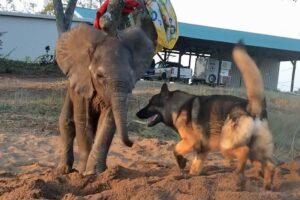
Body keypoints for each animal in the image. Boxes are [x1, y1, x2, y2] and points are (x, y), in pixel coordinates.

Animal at [136, 43, 274, 189]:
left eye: (150, 103)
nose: (136, 113)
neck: (177, 107)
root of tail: (252, 106)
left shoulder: (191, 141)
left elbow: (175, 150)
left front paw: (182, 163)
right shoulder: (202, 149)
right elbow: (195, 168)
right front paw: (187, 177)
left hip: (226, 145)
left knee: (244, 152)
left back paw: (240, 176)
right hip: (255, 150)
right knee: (270, 165)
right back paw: (266, 184)